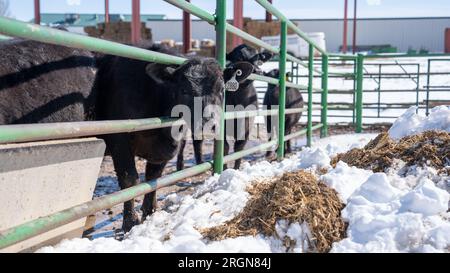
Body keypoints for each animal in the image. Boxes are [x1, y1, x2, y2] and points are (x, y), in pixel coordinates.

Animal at [96, 45, 253, 232]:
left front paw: (149, 213)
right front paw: (130, 222)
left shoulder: (165, 148)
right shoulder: (118, 139)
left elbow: (152, 178)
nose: (209, 124)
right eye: (184, 90)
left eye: (222, 89)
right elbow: (130, 180)